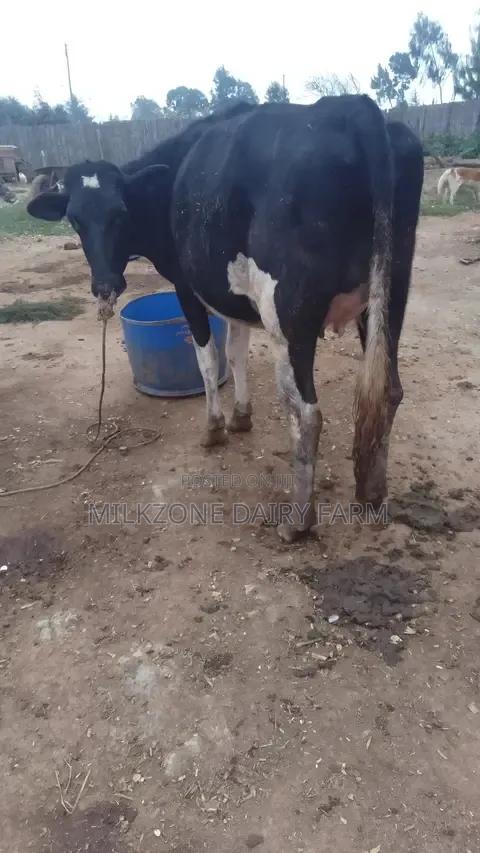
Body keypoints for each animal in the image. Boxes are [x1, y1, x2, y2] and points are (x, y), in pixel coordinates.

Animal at [27, 95, 423, 541]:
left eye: (119, 213)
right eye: (75, 220)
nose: (105, 285)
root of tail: (350, 106)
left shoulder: (187, 287)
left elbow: (208, 360)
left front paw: (214, 427)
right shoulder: (234, 296)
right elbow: (235, 354)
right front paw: (241, 417)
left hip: (288, 314)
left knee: (305, 412)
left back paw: (298, 521)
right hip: (390, 296)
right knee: (388, 390)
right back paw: (371, 494)